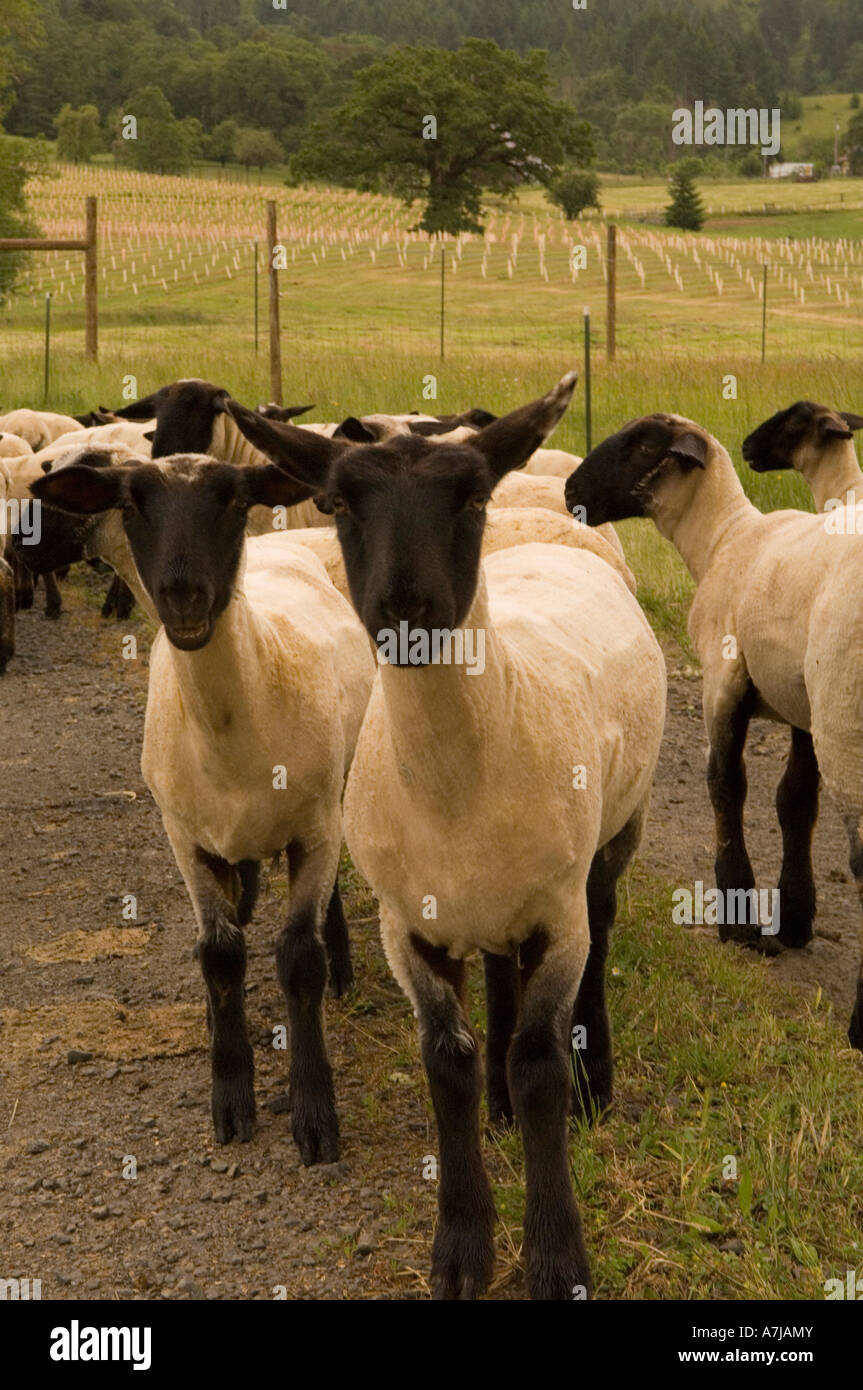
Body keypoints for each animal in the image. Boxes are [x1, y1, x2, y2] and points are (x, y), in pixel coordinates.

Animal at [31, 450, 372, 1156]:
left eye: (234, 502)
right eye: (131, 504)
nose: (183, 594)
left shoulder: (315, 828)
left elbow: (299, 959)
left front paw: (314, 1116)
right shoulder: (185, 838)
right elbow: (220, 954)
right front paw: (231, 1099)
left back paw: (343, 966)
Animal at [236, 372, 667, 1301]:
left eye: (471, 497)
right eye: (338, 502)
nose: (406, 610)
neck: (456, 780)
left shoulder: (557, 915)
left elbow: (540, 1067)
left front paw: (555, 1256)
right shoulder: (410, 928)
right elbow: (449, 1065)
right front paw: (462, 1247)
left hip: (615, 833)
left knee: (605, 927)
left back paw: (598, 1081)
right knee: (500, 975)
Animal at [564, 411, 863, 1050]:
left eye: (641, 445)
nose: (570, 492)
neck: (723, 541)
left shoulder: (724, 683)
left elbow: (725, 786)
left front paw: (738, 921)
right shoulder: (797, 701)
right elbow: (794, 803)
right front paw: (792, 920)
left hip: (847, 721)